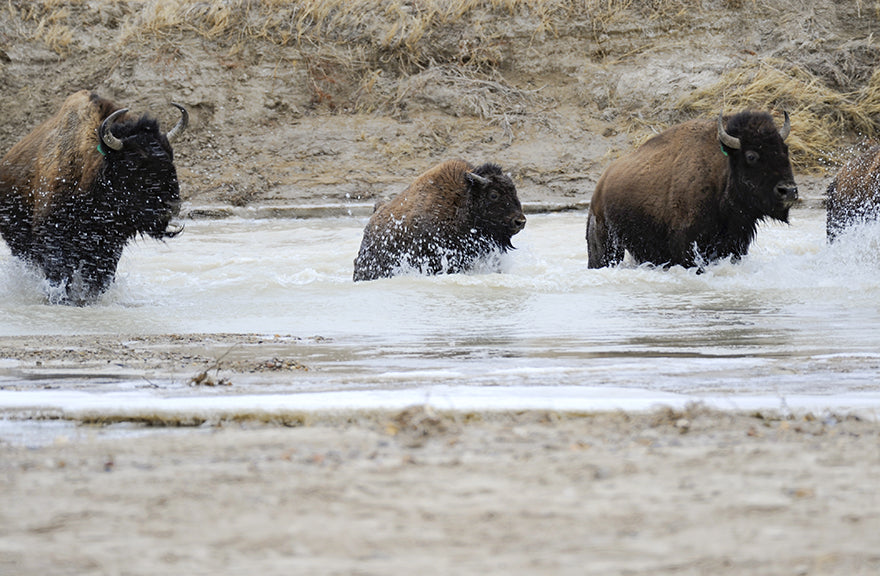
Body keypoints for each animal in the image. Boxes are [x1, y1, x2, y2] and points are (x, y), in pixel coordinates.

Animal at [0, 89, 186, 304]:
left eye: (171, 156)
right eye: (132, 162)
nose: (171, 204)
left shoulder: (108, 246)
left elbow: (97, 281)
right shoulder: (53, 240)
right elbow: (60, 278)